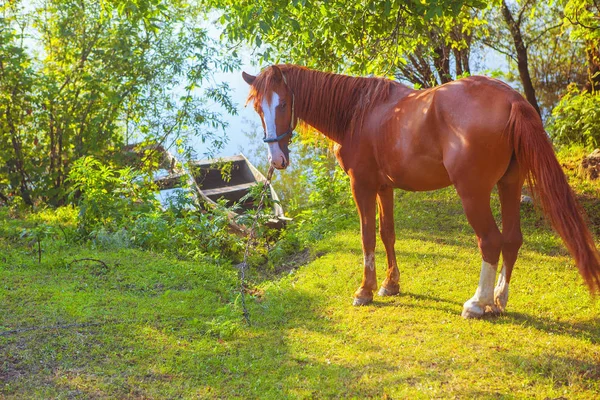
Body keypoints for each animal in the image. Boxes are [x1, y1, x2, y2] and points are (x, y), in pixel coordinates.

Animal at [241, 64, 600, 318]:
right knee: (512, 239)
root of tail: (511, 99)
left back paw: (477, 303)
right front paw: (390, 285)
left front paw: (365, 291)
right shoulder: (384, 187)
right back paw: (499, 300)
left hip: (473, 194)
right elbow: (387, 233)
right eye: (259, 108)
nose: (276, 159)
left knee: (491, 241)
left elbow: (367, 237)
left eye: (283, 104)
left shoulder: (362, 185)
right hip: (509, 185)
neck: (358, 113)